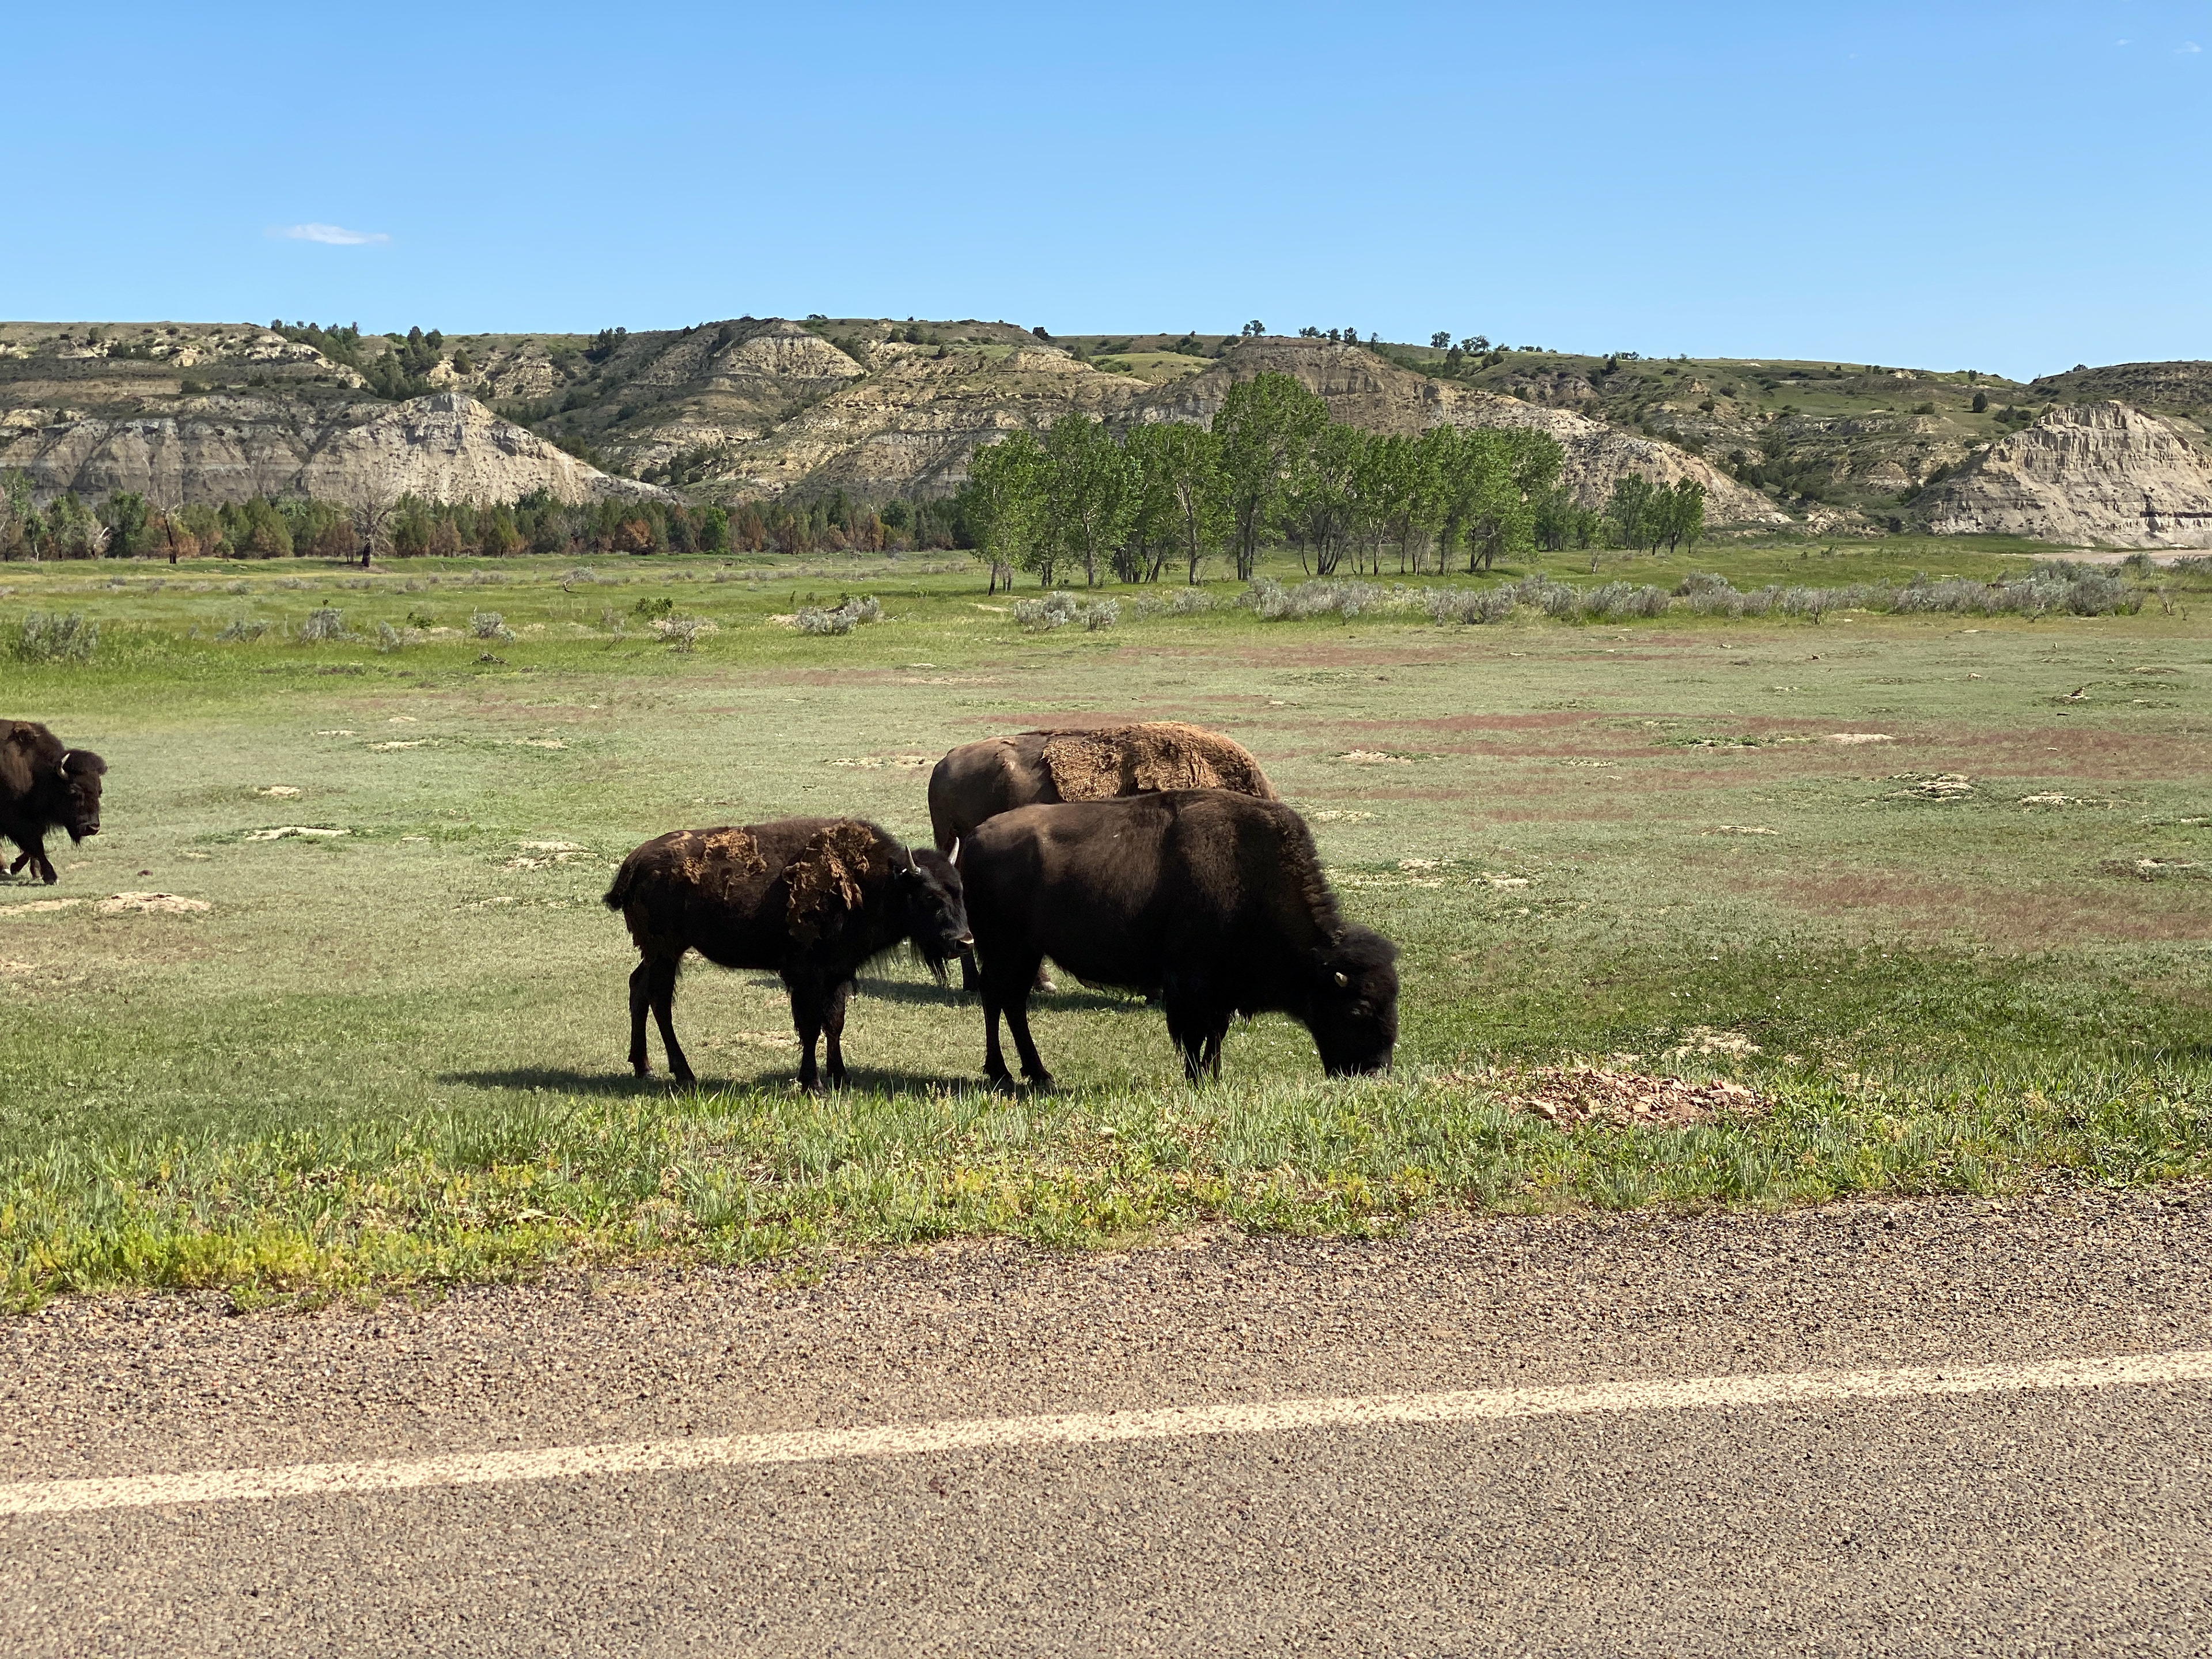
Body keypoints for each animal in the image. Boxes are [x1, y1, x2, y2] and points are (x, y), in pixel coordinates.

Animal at [0, 720, 106, 885]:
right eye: (73, 791)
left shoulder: (35, 819)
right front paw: (52, 877)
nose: (93, 828)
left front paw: (26, 869)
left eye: (99, 791)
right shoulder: (15, 820)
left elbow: (33, 846)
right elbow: (36, 845)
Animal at [604, 817, 970, 1091]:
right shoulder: (806, 975)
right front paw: (814, 1084)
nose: (964, 942)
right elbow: (810, 1026)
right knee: (660, 1002)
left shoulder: (838, 972)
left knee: (638, 988)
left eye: (960, 891)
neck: (875, 881)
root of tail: (634, 863)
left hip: (656, 954)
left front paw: (841, 1077)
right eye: (930, 897)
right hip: (666, 952)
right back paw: (684, 1075)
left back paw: (643, 1068)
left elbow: (834, 1023)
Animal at [958, 790, 1398, 1090]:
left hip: (1027, 951)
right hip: (1005, 948)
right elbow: (1193, 1033)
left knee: (1012, 1001)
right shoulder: (1190, 982)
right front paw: (1196, 1078)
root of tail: (975, 836)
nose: (1375, 1071)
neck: (1252, 878)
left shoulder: (1220, 990)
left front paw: (1213, 1077)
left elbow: (1215, 1034)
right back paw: (1003, 1074)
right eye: (1358, 1009)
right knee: (996, 996)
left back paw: (1037, 1075)